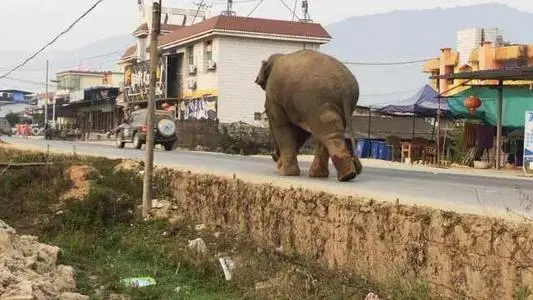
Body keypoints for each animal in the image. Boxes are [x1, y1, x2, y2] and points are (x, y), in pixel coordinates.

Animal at [254, 48, 362, 183]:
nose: (274, 155)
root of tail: (346, 90)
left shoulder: (274, 96)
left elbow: (281, 124)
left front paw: (284, 173)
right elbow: (301, 132)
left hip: (318, 101)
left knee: (326, 131)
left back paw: (345, 176)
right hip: (330, 105)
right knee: (329, 131)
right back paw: (331, 175)